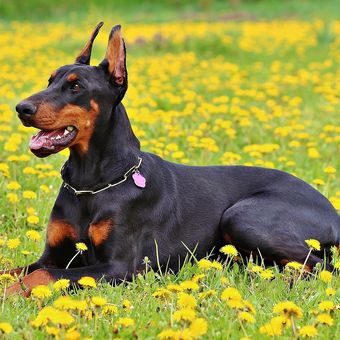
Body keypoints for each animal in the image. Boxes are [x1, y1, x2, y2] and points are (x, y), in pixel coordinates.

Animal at [3, 23, 340, 294]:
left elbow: (41, 276)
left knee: (321, 265)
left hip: (243, 216)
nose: (21, 108)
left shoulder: (119, 266)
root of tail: (333, 211)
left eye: (76, 86)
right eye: (49, 80)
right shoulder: (54, 255)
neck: (91, 183)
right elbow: (17, 270)